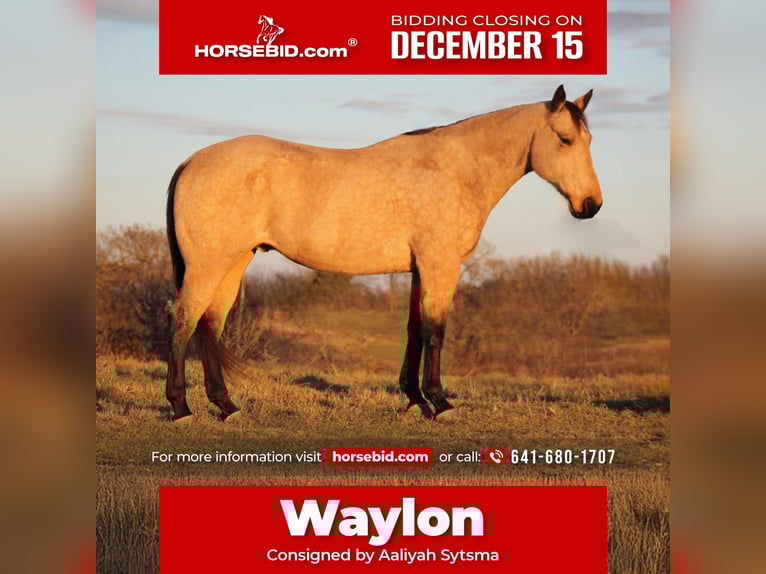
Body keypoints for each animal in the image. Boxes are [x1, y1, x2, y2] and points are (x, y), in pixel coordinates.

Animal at [165, 85, 602, 422]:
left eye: (589, 141)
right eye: (565, 139)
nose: (591, 205)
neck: (457, 169)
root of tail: (191, 161)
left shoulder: (419, 269)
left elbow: (414, 329)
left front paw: (414, 399)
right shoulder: (441, 265)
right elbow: (436, 330)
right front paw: (441, 403)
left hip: (234, 262)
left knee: (209, 324)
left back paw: (226, 406)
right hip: (208, 265)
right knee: (185, 319)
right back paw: (182, 408)